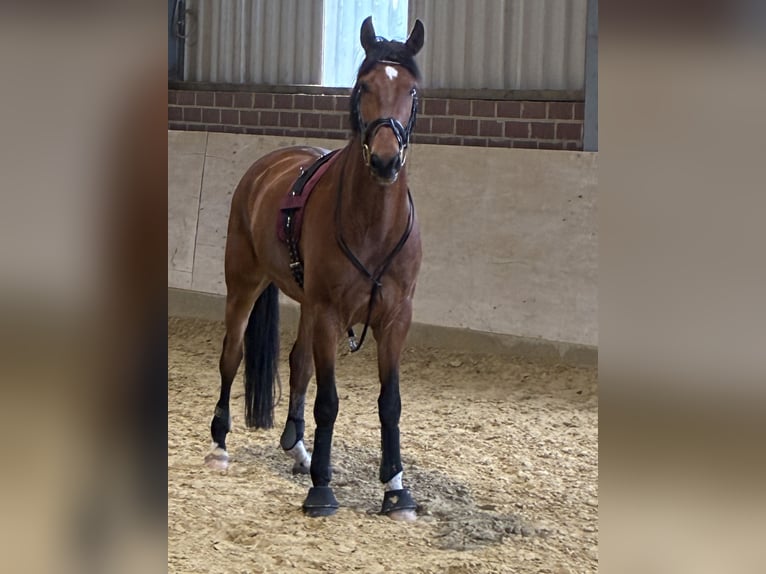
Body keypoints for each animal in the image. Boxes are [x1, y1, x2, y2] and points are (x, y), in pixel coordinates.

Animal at [204, 16, 425, 521]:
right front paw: (322, 489)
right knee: (232, 355)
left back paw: (298, 449)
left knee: (298, 363)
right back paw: (220, 445)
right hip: (244, 284)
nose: (385, 160)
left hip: (305, 303)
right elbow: (328, 401)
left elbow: (390, 403)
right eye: (363, 86)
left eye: (412, 91)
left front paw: (396, 490)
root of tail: (267, 165)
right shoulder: (328, 314)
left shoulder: (395, 319)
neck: (372, 222)